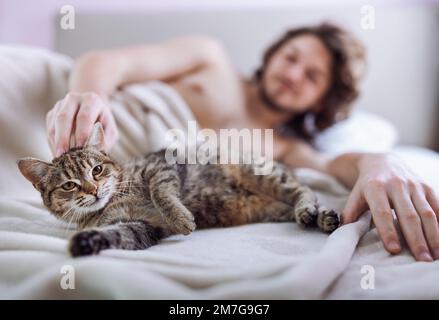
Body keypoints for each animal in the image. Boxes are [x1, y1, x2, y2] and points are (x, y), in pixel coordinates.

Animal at [17, 122, 340, 258]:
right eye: (69, 185)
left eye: (97, 170)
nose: (94, 189)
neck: (115, 200)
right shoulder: (141, 227)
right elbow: (117, 235)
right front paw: (86, 242)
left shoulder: (161, 167)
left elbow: (162, 193)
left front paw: (182, 217)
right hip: (273, 206)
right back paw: (322, 218)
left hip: (261, 173)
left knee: (304, 190)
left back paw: (311, 210)